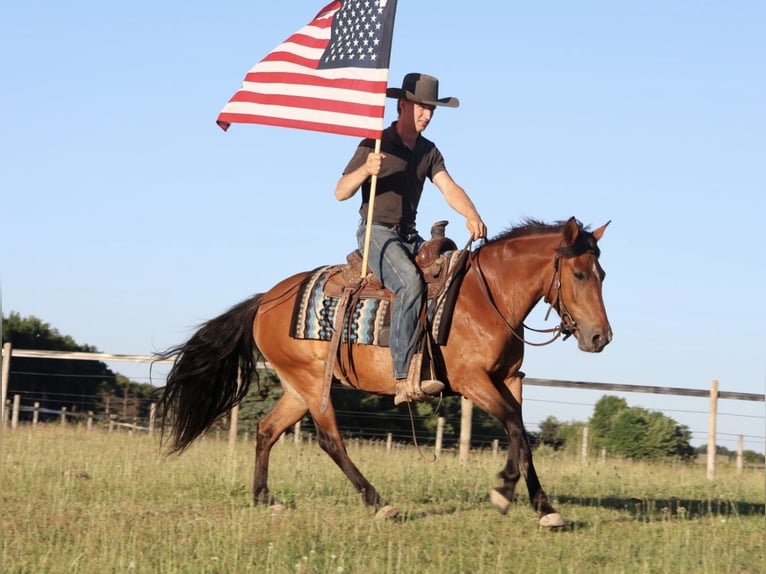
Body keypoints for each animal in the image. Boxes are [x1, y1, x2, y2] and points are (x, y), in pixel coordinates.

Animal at [155, 216, 612, 527]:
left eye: (602, 274)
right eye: (578, 273)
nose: (600, 337)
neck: (488, 297)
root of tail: (266, 300)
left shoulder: (510, 380)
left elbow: (522, 435)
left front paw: (543, 507)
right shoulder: (473, 382)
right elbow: (515, 429)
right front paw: (504, 493)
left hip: (296, 388)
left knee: (267, 429)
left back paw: (264, 498)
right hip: (313, 384)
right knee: (330, 440)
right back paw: (377, 502)